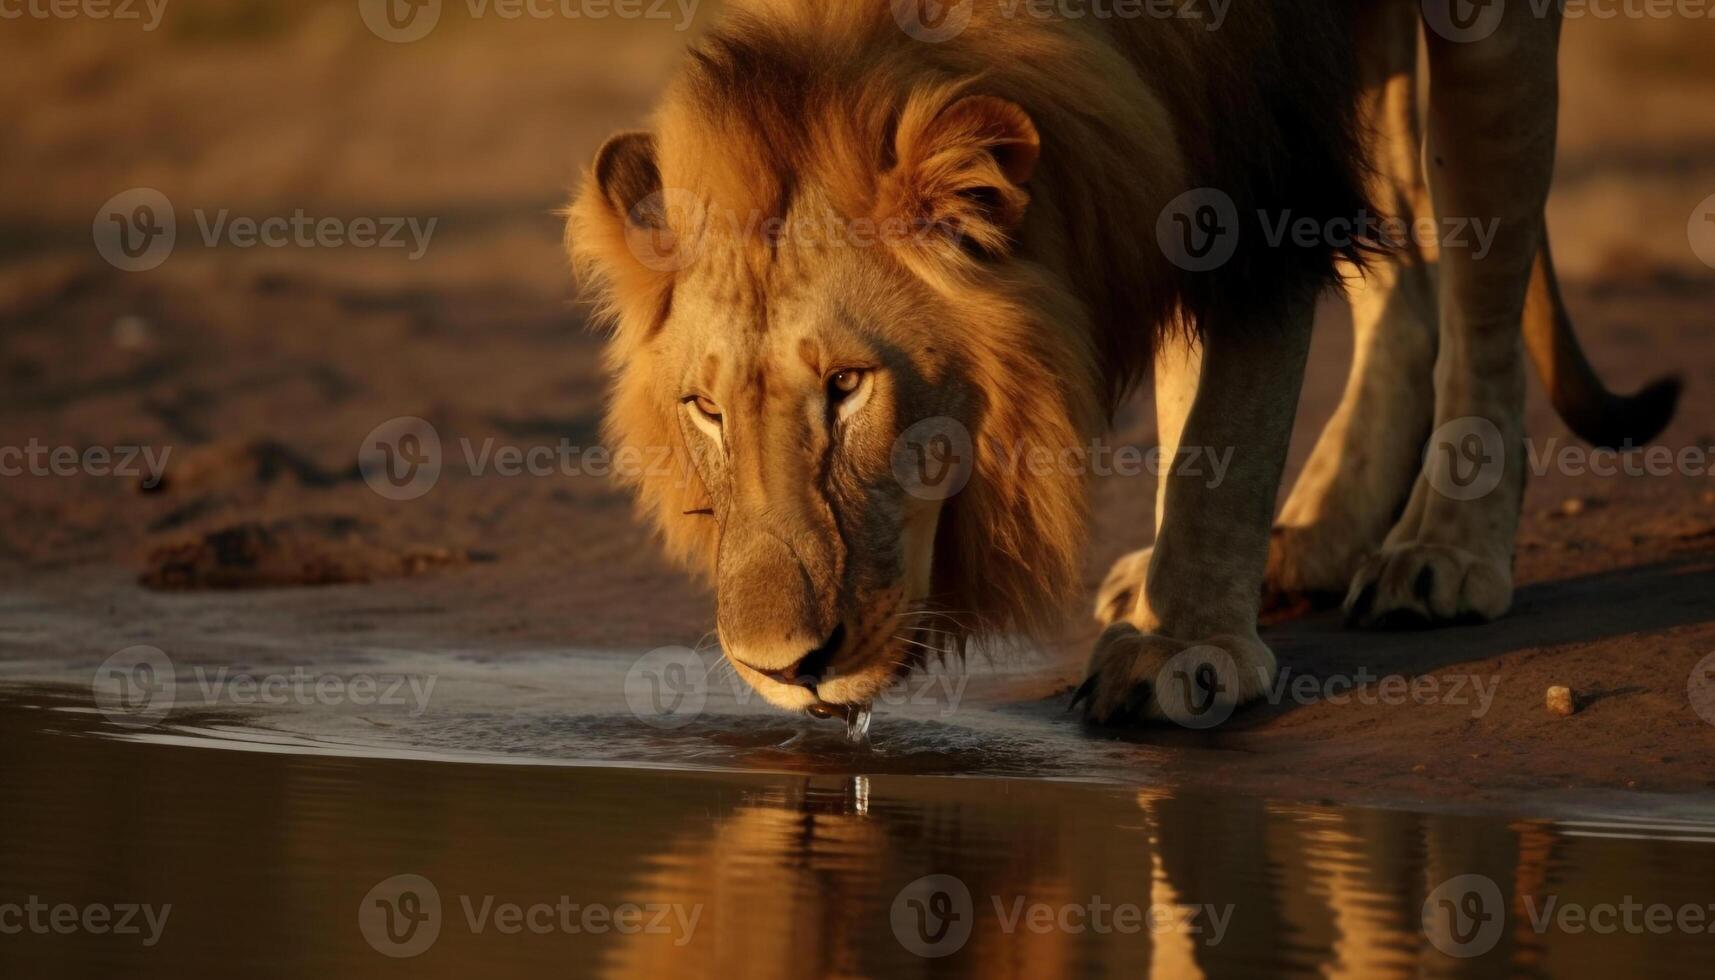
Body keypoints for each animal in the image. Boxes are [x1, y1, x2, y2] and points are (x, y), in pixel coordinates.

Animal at [565, 1, 1673, 727]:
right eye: (704, 408)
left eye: (846, 386)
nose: (783, 668)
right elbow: (1196, 412)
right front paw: (1178, 600)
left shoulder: (1251, 155)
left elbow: (1225, 432)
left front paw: (1180, 646)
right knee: (1402, 261)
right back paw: (1315, 533)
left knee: (1482, 272)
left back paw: (1442, 550)